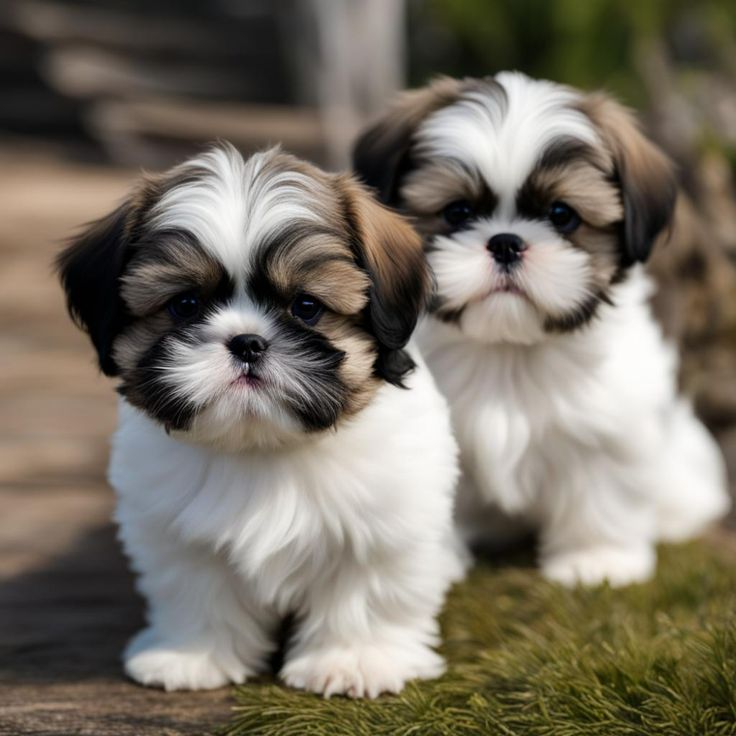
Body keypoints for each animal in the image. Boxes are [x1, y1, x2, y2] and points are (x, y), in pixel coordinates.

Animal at [59, 144, 460, 696]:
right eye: (185, 305)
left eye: (306, 307)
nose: (247, 342)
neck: (261, 446)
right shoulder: (178, 536)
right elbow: (197, 590)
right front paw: (192, 656)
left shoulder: (381, 526)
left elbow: (362, 593)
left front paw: (354, 660)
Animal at [352, 70, 732, 588]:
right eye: (457, 212)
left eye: (561, 215)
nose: (506, 243)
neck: (510, 350)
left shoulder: (610, 424)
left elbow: (603, 491)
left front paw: (597, 561)